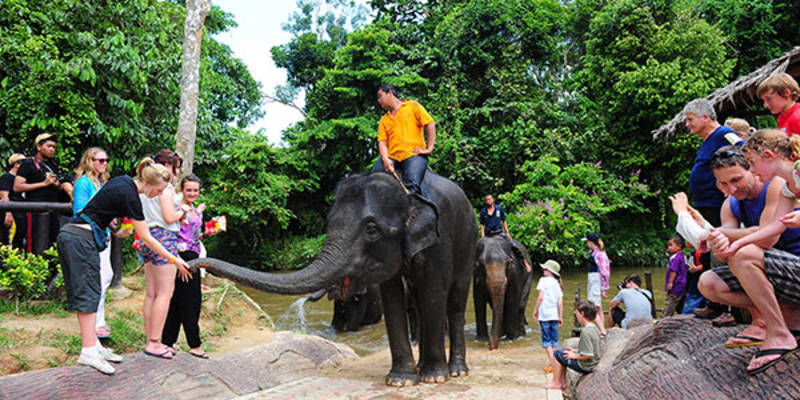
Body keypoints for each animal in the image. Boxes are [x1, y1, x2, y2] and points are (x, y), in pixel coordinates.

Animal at [191, 171, 477, 386]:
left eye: (371, 228)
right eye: (328, 222)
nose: (193, 264)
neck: (406, 193)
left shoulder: (439, 240)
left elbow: (434, 293)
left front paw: (434, 378)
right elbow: (392, 297)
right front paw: (400, 381)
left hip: (468, 241)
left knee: (455, 301)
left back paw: (456, 371)